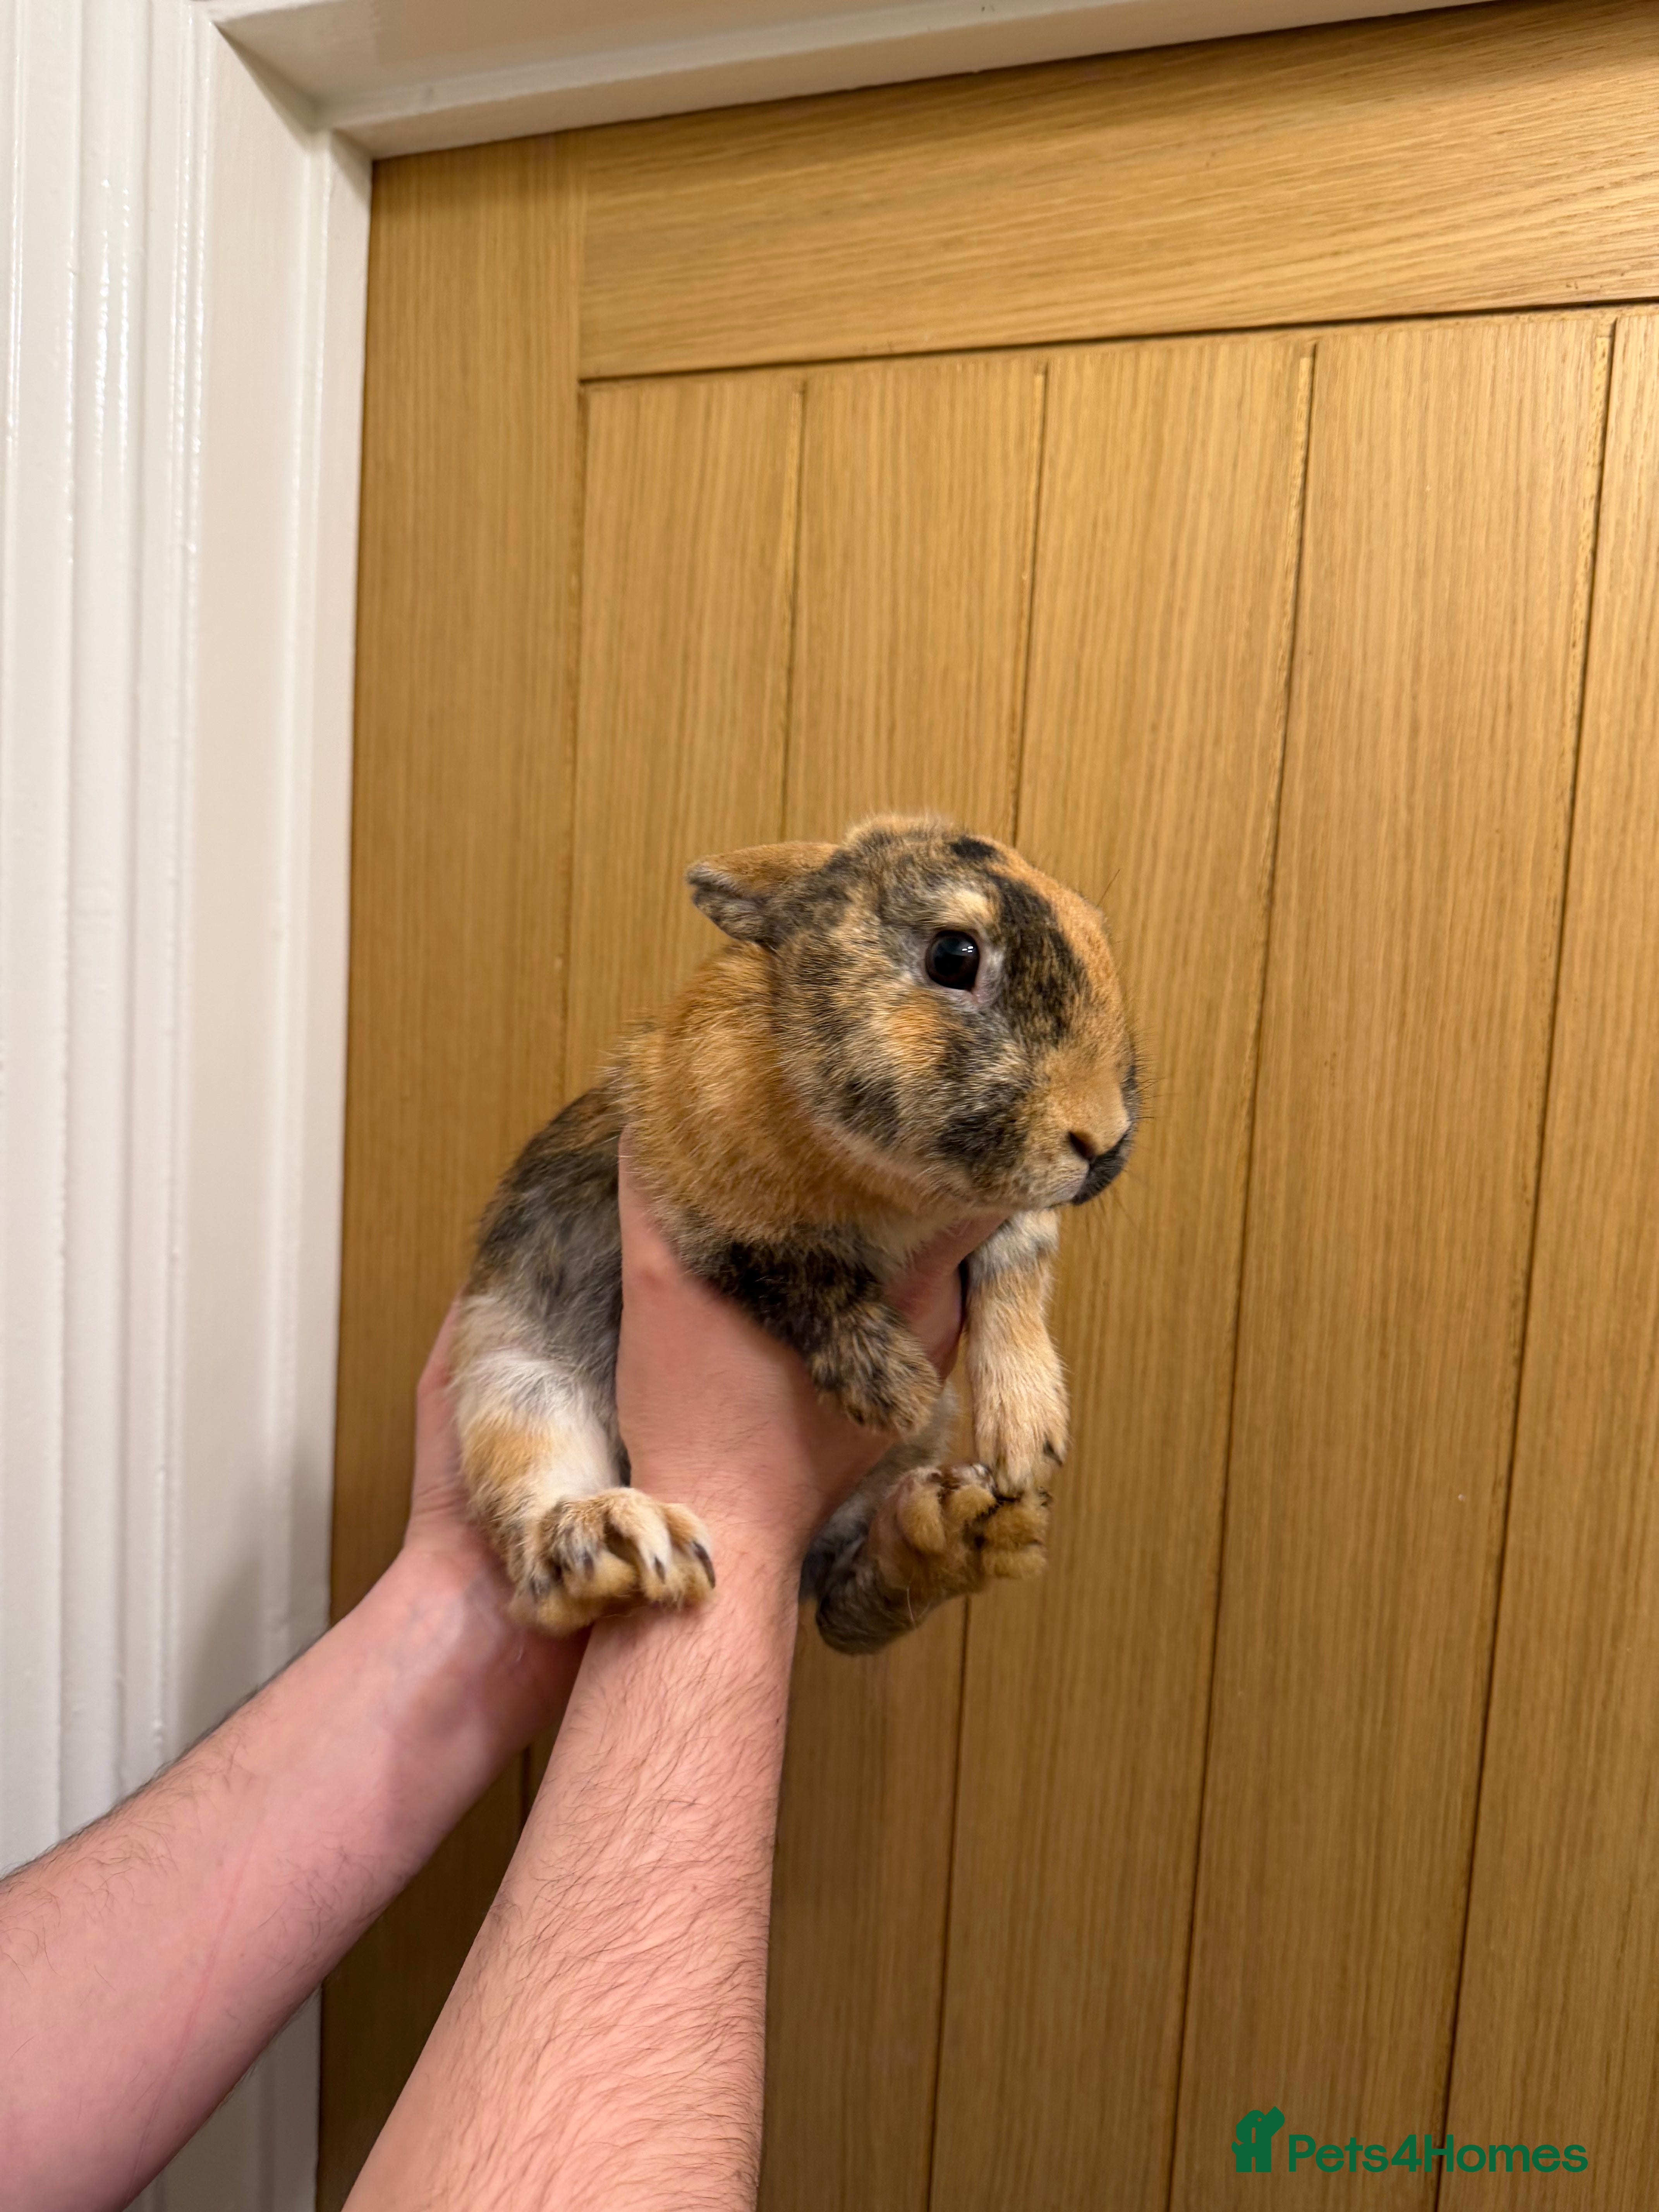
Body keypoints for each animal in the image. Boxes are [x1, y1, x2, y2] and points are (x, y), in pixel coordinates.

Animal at [454, 815, 1138, 1655]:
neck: (894, 1182)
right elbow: (800, 1275)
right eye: (954, 956)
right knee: (549, 1574)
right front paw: (893, 1387)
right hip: (516, 1388)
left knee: (849, 1597)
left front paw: (1026, 1440)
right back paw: (615, 1536)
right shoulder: (707, 1209)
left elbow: (1015, 1275)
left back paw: (958, 1534)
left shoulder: (1014, 1216)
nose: (1102, 1138)